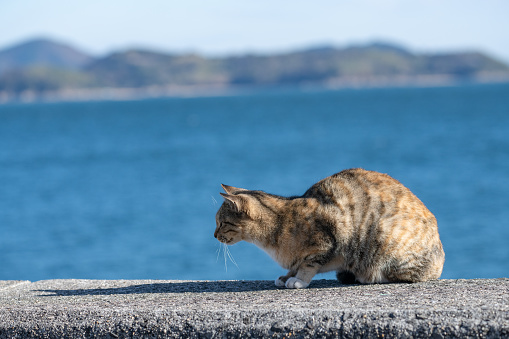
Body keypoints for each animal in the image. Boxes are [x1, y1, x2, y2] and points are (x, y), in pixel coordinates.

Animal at [212, 169, 442, 288]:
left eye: (221, 223)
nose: (214, 235)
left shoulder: (325, 242)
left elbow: (308, 265)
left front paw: (298, 280)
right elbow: (294, 265)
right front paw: (287, 276)